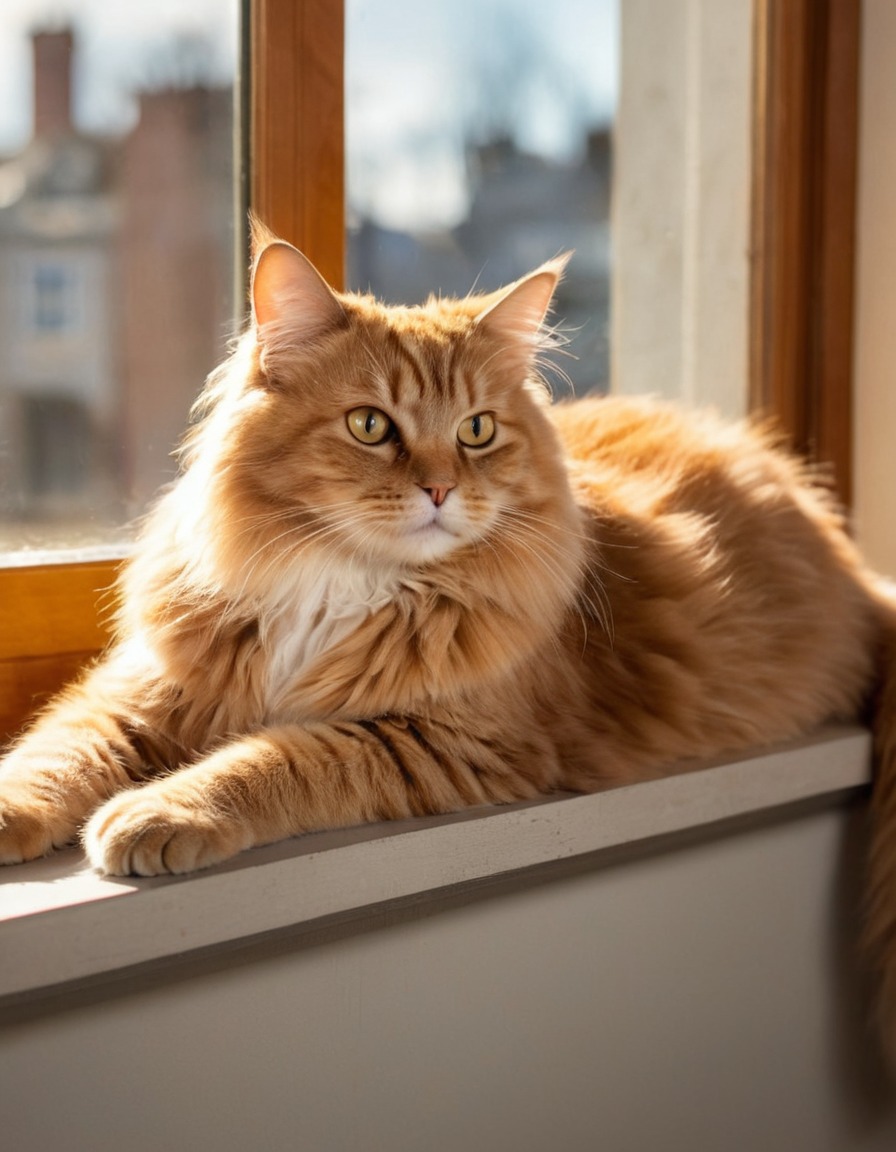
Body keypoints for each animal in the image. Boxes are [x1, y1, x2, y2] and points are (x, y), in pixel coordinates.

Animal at [5, 224, 893, 1046]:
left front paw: (162, 811)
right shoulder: (146, 688)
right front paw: (18, 813)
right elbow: (59, 752)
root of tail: (855, 568)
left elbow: (270, 760)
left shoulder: (440, 739)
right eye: (370, 425)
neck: (343, 582)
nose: (439, 489)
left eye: (476, 431)